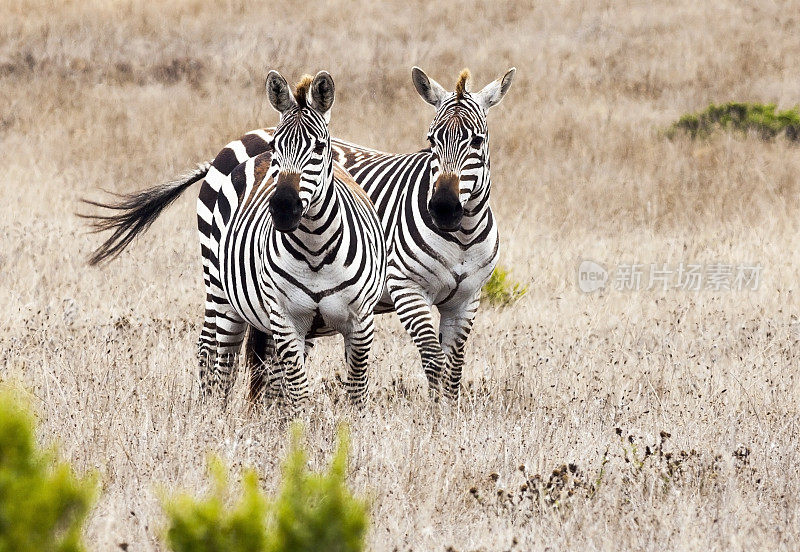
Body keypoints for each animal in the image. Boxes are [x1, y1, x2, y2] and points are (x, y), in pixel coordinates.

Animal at [83, 71, 388, 406]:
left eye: (320, 148)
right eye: (278, 145)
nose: (283, 208)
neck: (315, 250)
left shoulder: (360, 323)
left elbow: (355, 393)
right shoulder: (286, 318)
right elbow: (298, 394)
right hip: (221, 289)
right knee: (219, 356)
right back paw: (214, 411)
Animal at [200, 67, 516, 402]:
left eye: (477, 141)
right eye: (431, 140)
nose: (443, 208)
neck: (462, 237)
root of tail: (239, 139)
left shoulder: (467, 298)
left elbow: (454, 366)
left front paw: (448, 411)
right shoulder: (406, 286)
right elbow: (433, 357)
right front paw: (434, 412)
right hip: (216, 277)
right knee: (210, 346)